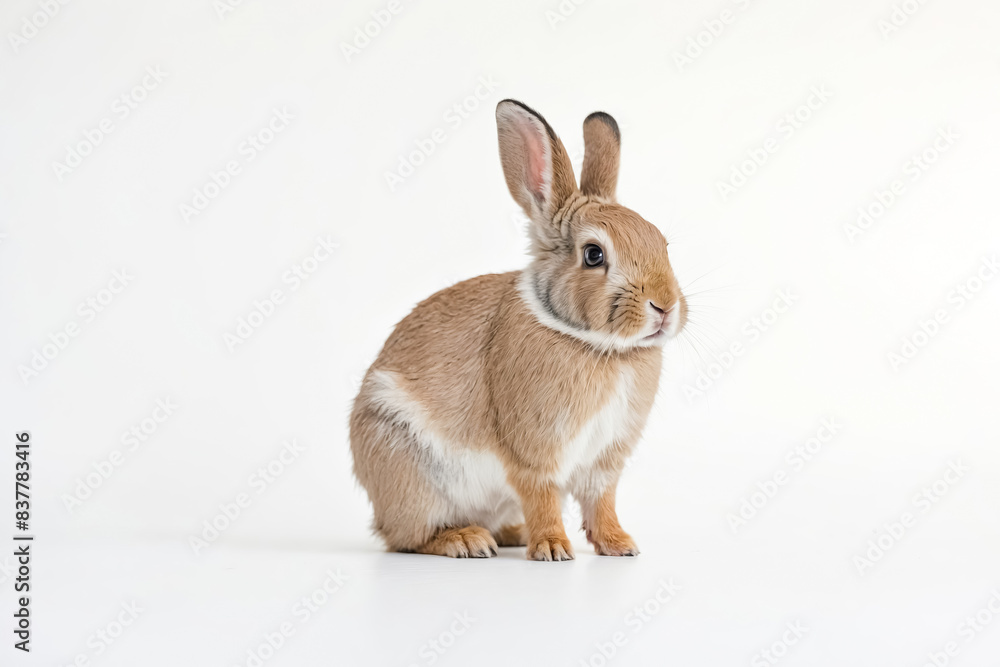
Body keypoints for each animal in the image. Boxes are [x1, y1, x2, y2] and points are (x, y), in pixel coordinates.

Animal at [350, 99, 686, 561]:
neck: (598, 346)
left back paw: (511, 533)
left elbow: (602, 501)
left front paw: (619, 545)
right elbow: (542, 495)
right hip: (409, 474)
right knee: (408, 538)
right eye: (594, 254)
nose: (665, 307)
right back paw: (467, 540)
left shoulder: (603, 461)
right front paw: (553, 548)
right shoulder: (534, 452)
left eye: (662, 244)